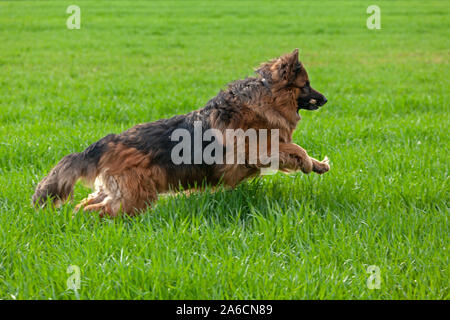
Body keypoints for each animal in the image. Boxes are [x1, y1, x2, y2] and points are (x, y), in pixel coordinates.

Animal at [30, 48, 326, 218]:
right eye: (306, 85)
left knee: (85, 204)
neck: (265, 96)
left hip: (115, 192)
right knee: (99, 211)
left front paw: (318, 165)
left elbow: (295, 149)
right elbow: (296, 149)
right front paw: (310, 164)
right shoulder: (258, 149)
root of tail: (102, 144)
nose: (325, 100)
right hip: (135, 198)